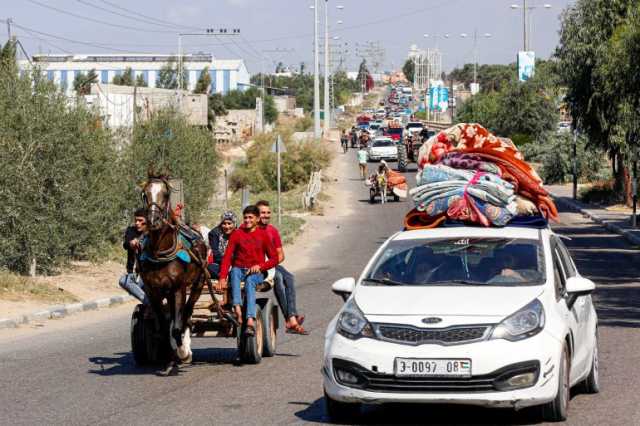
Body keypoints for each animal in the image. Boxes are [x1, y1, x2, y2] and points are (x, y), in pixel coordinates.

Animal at [139, 174, 210, 366]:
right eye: (145, 194)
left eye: (165, 194)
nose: (153, 221)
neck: (160, 253)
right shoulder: (152, 291)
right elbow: (163, 327)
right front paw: (169, 352)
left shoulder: (179, 288)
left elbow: (177, 326)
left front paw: (183, 352)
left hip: (198, 284)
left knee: (187, 314)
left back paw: (186, 347)